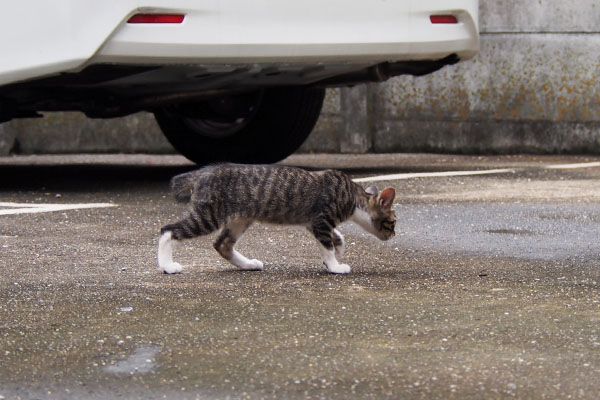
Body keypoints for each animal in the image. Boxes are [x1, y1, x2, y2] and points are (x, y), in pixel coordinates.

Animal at [157, 162, 396, 272]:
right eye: (393, 222)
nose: (394, 235)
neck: (353, 197)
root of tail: (203, 172)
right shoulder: (320, 220)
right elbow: (326, 246)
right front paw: (335, 265)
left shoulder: (313, 223)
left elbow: (336, 237)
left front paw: (338, 250)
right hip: (208, 215)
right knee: (168, 230)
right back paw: (168, 266)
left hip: (240, 219)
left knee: (222, 244)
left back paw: (248, 264)